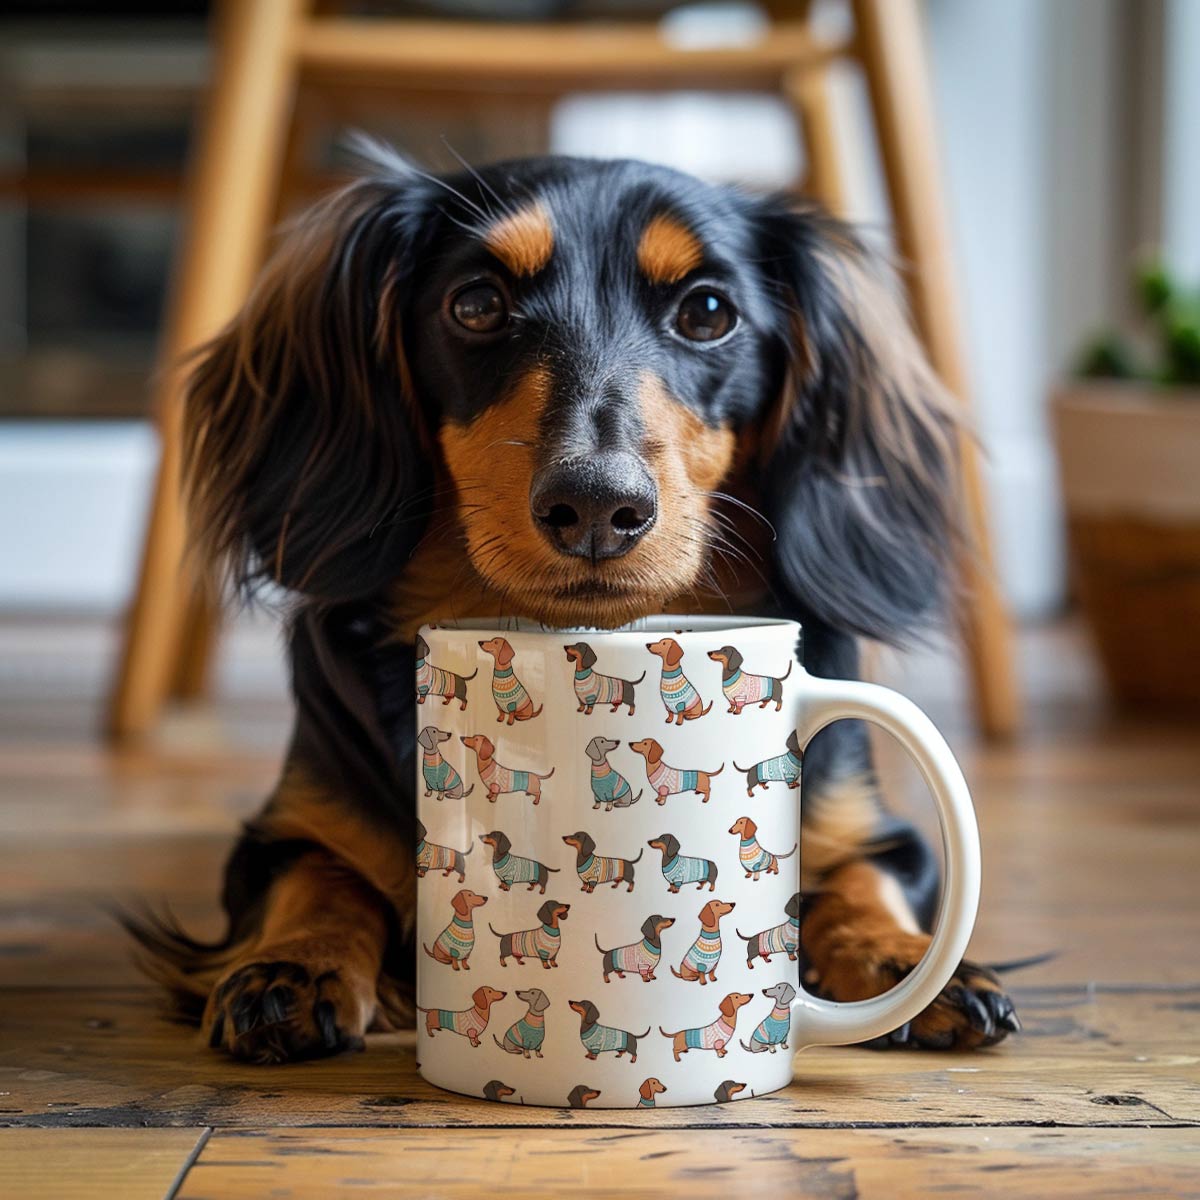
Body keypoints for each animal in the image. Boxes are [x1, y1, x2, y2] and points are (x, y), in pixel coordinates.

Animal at [121, 147, 1017, 1060]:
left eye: (707, 311)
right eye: (477, 303)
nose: (595, 504)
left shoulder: (869, 825)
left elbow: (864, 873)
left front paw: (902, 957)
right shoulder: (292, 824)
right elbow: (319, 872)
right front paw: (293, 967)